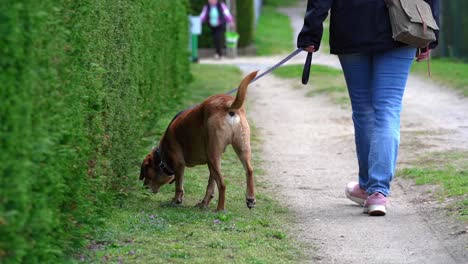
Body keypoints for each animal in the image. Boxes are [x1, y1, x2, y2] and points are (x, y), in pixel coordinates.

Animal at [140, 71, 256, 211]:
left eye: (146, 172)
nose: (144, 187)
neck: (162, 154)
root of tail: (227, 104)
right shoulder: (213, 163)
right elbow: (210, 186)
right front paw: (204, 203)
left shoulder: (179, 163)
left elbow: (179, 185)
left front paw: (176, 200)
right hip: (240, 149)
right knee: (249, 170)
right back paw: (250, 198)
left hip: (213, 155)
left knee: (222, 184)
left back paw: (220, 209)